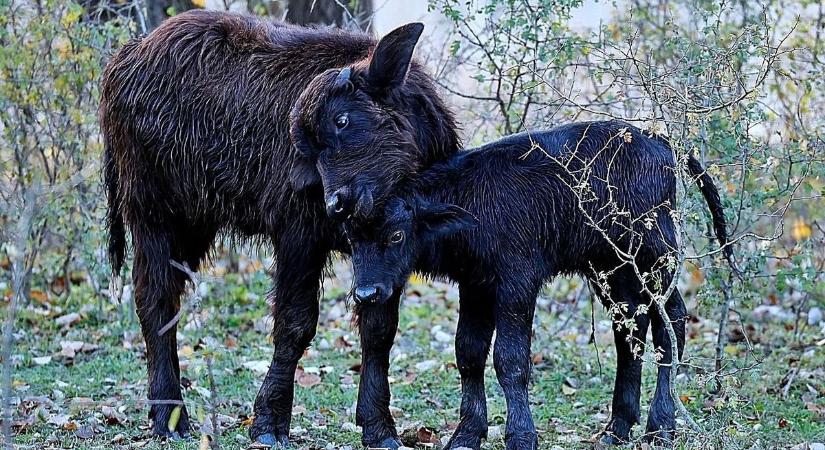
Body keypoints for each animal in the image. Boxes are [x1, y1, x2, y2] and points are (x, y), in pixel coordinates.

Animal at [344, 121, 732, 448]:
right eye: (351, 238)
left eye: (396, 235)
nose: (366, 293)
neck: (469, 205)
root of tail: (658, 140)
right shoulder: (476, 286)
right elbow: (468, 353)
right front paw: (466, 434)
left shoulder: (517, 284)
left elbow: (510, 359)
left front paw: (520, 435)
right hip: (610, 269)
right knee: (631, 328)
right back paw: (616, 428)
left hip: (655, 258)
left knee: (671, 321)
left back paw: (660, 427)